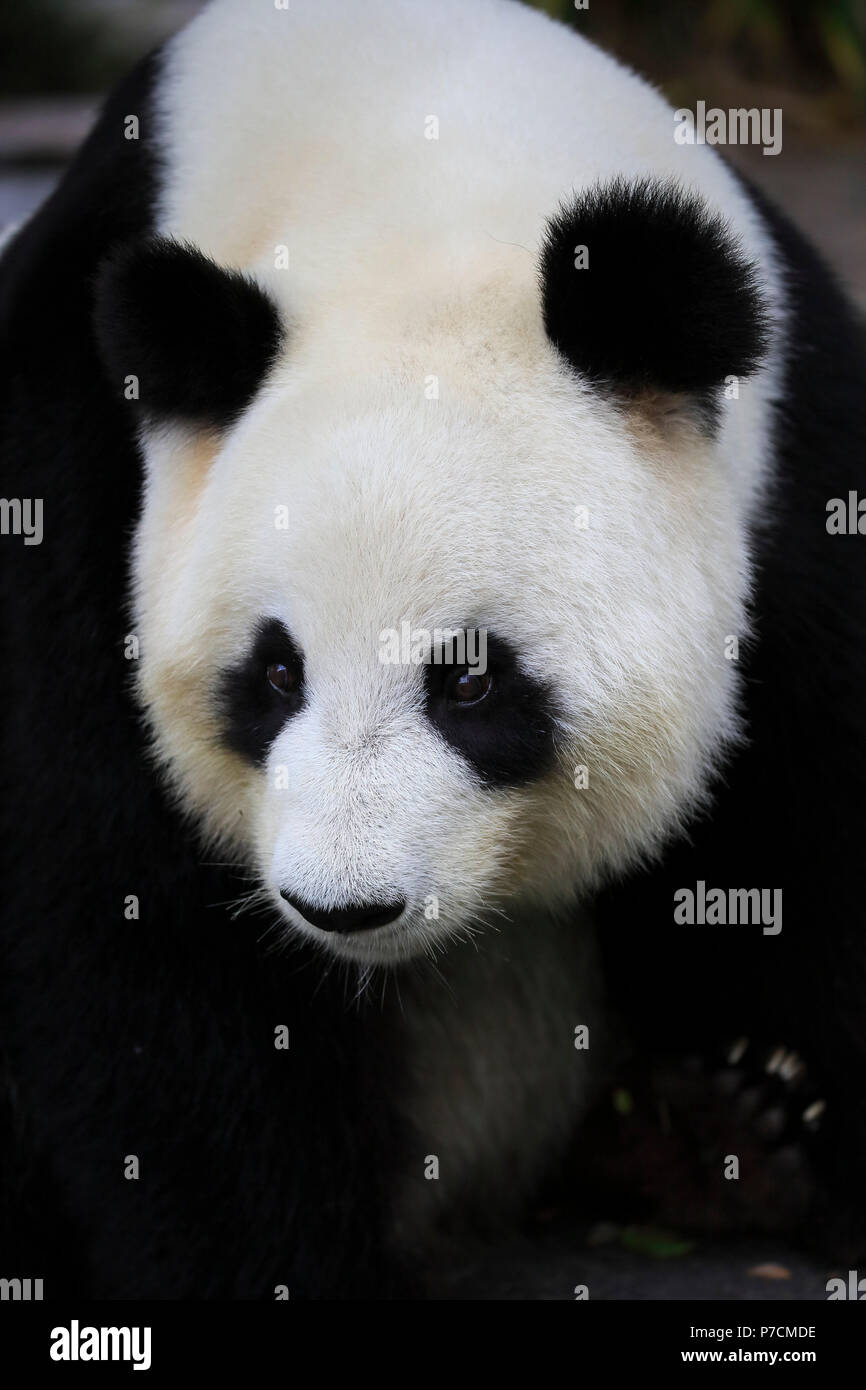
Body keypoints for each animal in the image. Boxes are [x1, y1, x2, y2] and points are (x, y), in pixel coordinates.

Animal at [0, 0, 861, 1301]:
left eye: (468, 678)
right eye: (276, 673)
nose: (345, 907)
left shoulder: (791, 486)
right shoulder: (75, 469)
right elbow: (128, 913)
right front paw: (280, 1270)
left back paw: (711, 1137)